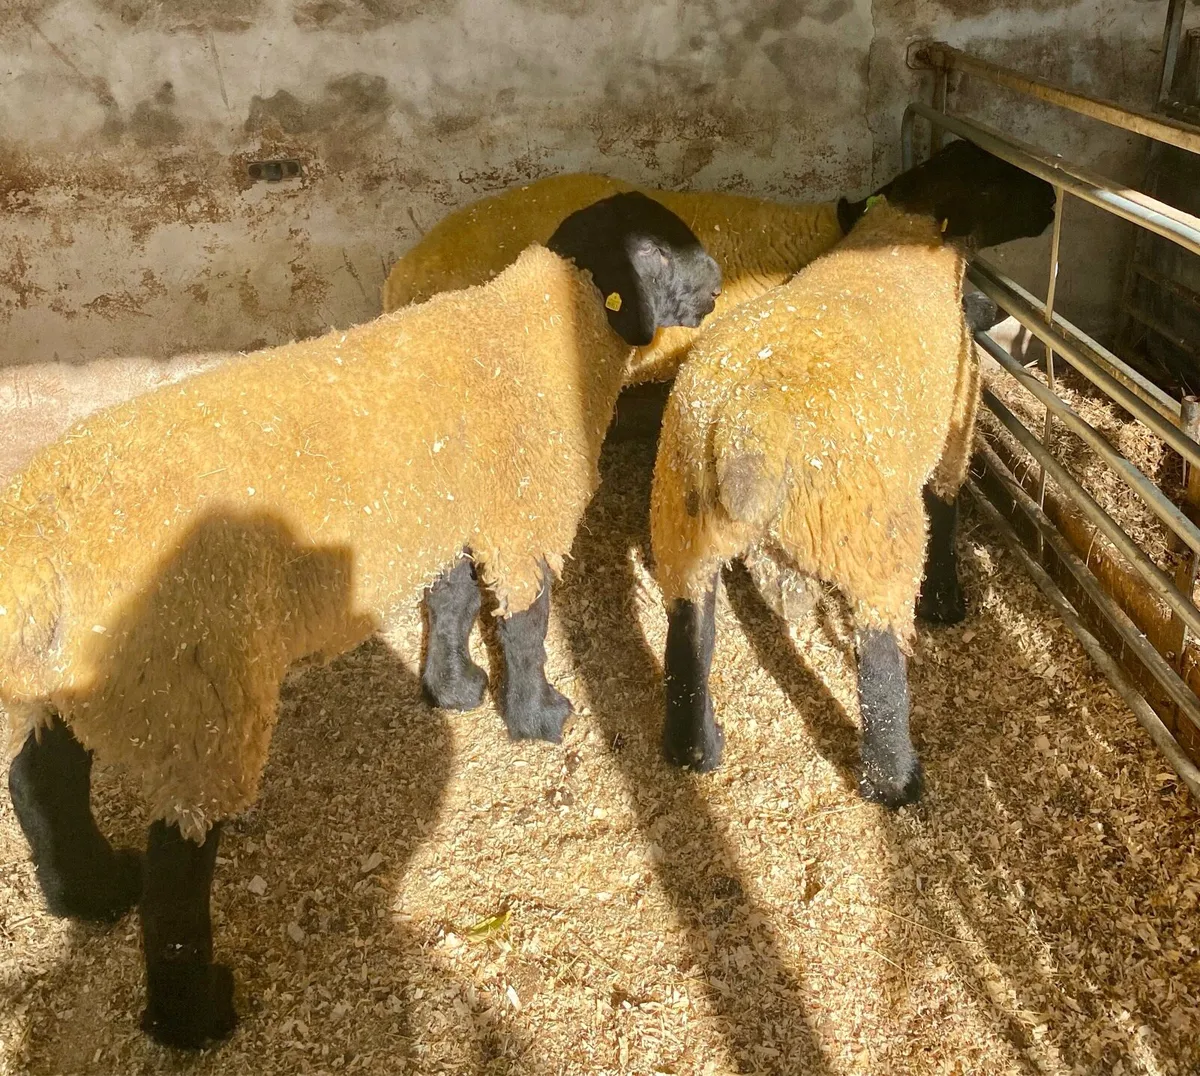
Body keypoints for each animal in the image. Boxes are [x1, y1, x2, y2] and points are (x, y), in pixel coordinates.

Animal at [1, 191, 721, 1050]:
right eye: (657, 253)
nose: (719, 278)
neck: (546, 331)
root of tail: (38, 546)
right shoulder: (519, 513)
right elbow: (524, 621)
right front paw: (539, 716)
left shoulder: (454, 511)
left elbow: (451, 602)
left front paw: (453, 689)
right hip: (196, 706)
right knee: (177, 864)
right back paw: (195, 1016)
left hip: (92, 685)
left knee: (40, 778)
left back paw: (90, 889)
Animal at [648, 139, 1056, 808]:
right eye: (990, 183)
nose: (1048, 197)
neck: (902, 230)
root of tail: (749, 435)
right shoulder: (955, 425)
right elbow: (947, 507)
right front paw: (948, 600)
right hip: (868, 537)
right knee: (881, 660)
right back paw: (898, 781)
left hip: (681, 523)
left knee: (689, 631)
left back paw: (697, 748)